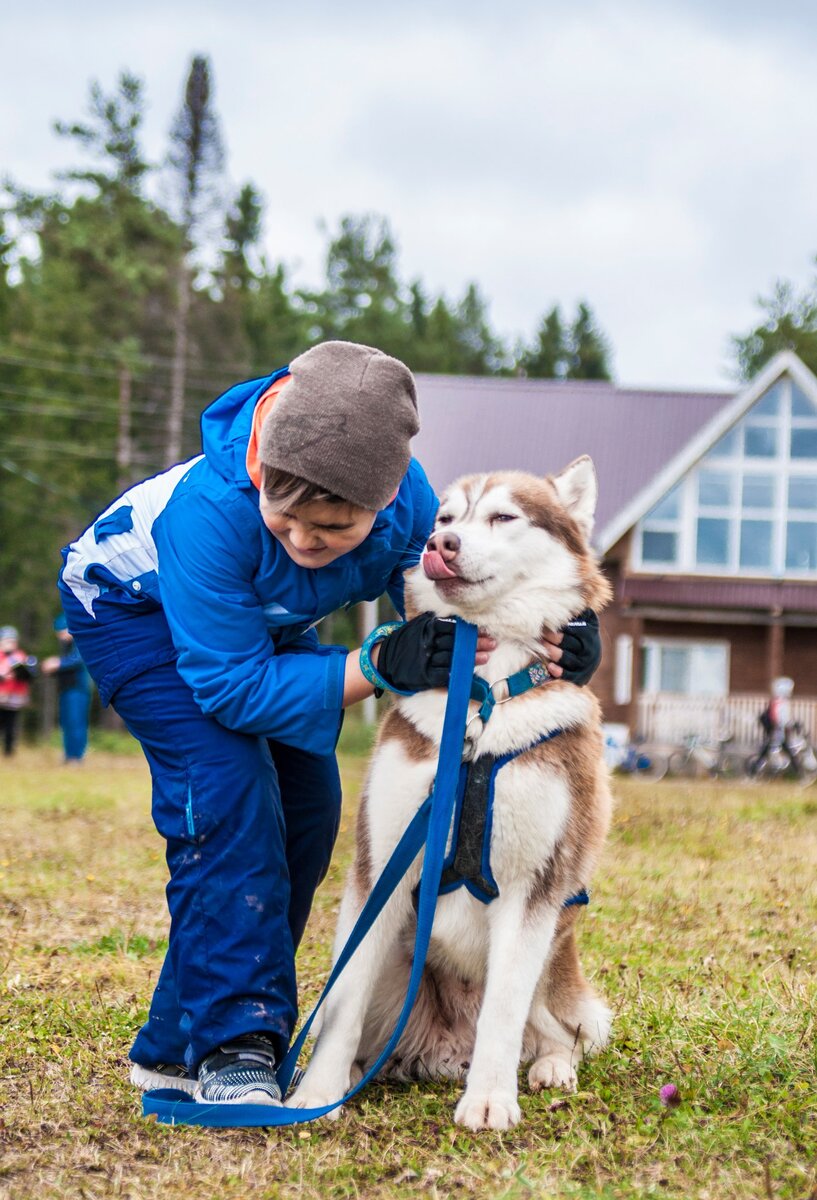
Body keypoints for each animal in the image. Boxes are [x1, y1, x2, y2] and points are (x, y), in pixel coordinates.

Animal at [286, 453, 611, 1128]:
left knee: (560, 1030)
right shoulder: (380, 865)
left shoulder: (533, 888)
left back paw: (549, 1066)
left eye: (504, 516)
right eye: (444, 519)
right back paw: (351, 1073)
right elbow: (343, 999)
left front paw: (489, 1100)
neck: (481, 698)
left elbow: (504, 1013)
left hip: (554, 963)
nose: (441, 545)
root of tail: (443, 1048)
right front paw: (316, 1094)